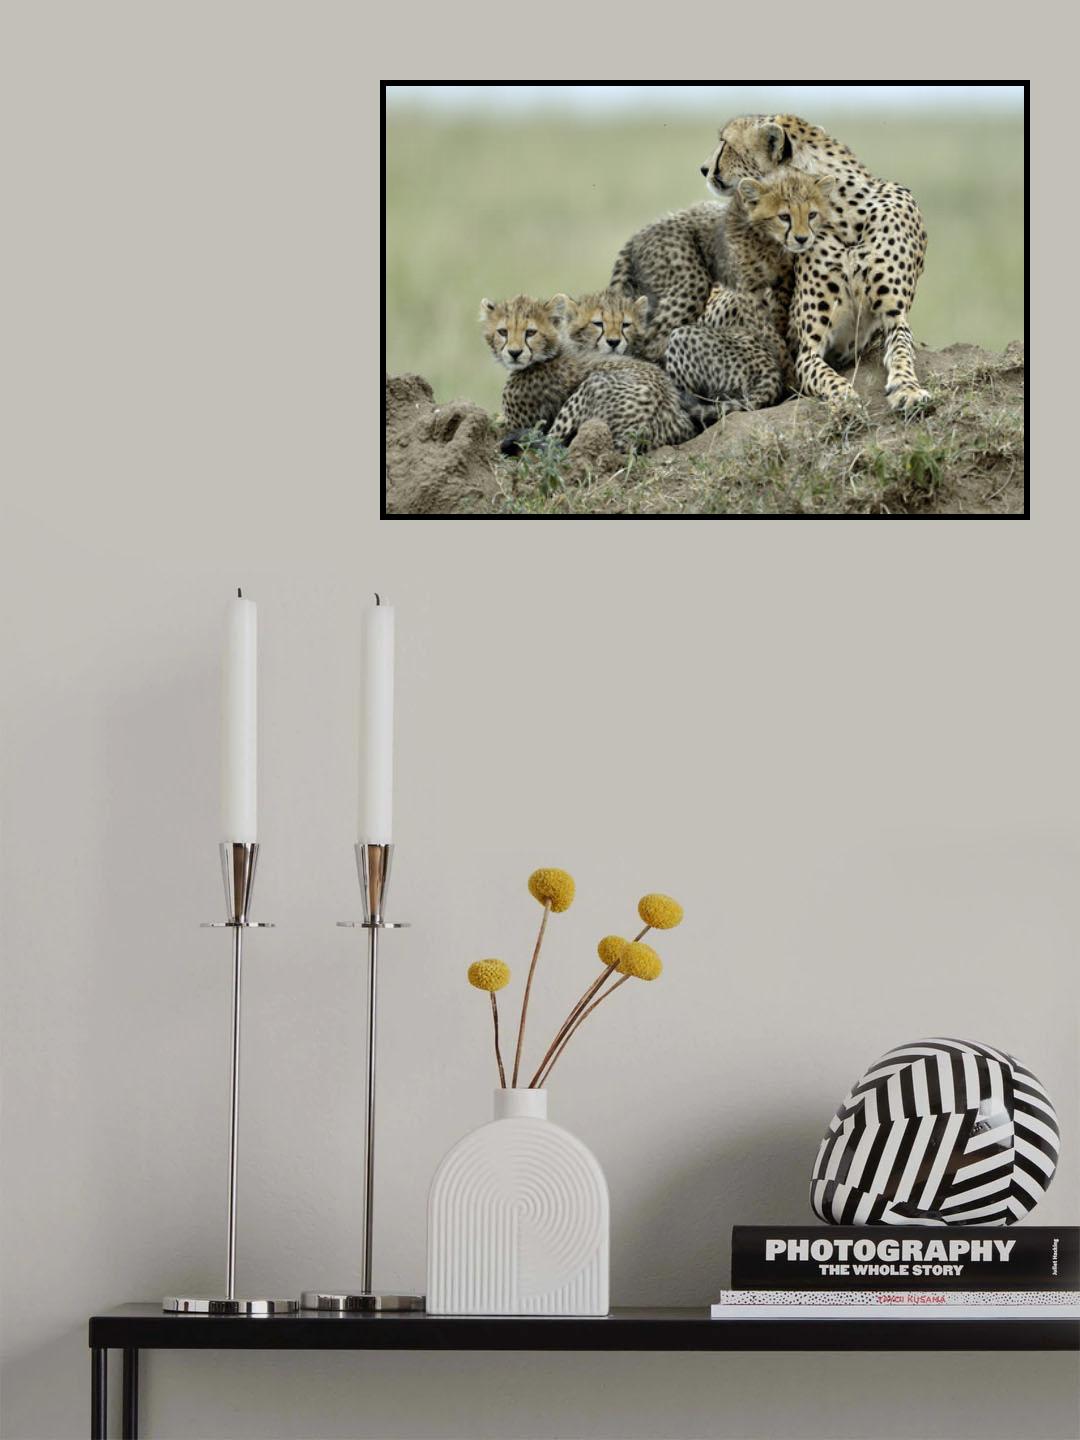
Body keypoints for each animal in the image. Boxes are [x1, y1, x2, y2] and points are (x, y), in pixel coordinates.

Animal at [702, 114, 930, 412]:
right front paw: (844, 398)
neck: (844, 215)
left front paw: (908, 389)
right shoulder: (808, 347)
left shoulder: (894, 317)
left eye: (725, 143)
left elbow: (902, 351)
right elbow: (825, 376)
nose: (704, 169)